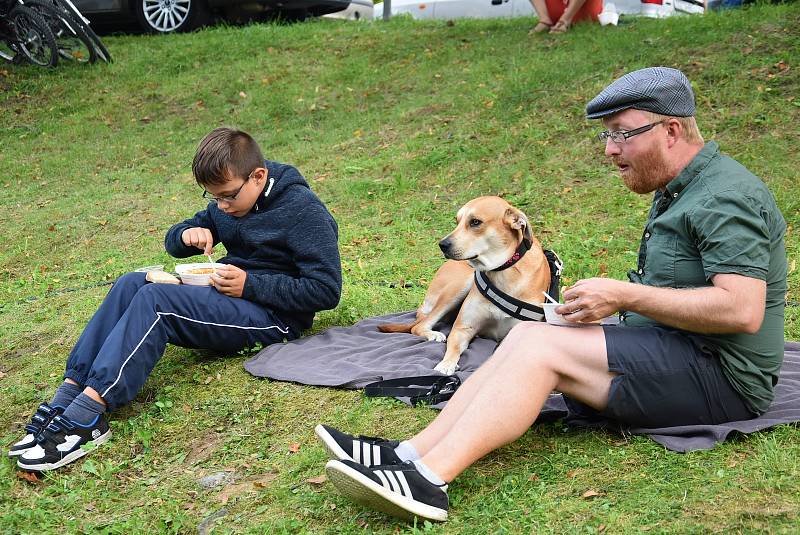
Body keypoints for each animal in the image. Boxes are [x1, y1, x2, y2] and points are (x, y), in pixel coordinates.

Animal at [378, 195, 552, 374]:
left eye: (475, 222)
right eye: (457, 221)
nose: (442, 245)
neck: (502, 271)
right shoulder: (462, 328)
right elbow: (453, 348)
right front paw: (446, 365)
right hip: (458, 288)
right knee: (418, 326)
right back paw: (433, 334)